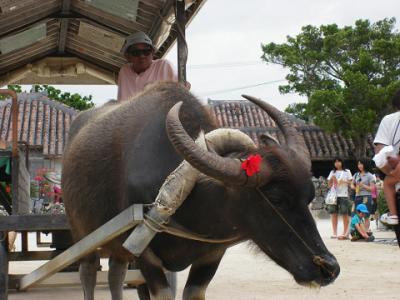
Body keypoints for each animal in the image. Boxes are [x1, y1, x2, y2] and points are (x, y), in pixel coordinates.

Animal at [61, 81, 338, 298]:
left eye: (310, 197)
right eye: (276, 198)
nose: (329, 267)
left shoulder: (212, 255)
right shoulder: (146, 255)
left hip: (117, 246)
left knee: (116, 274)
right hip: (83, 235)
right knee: (89, 272)